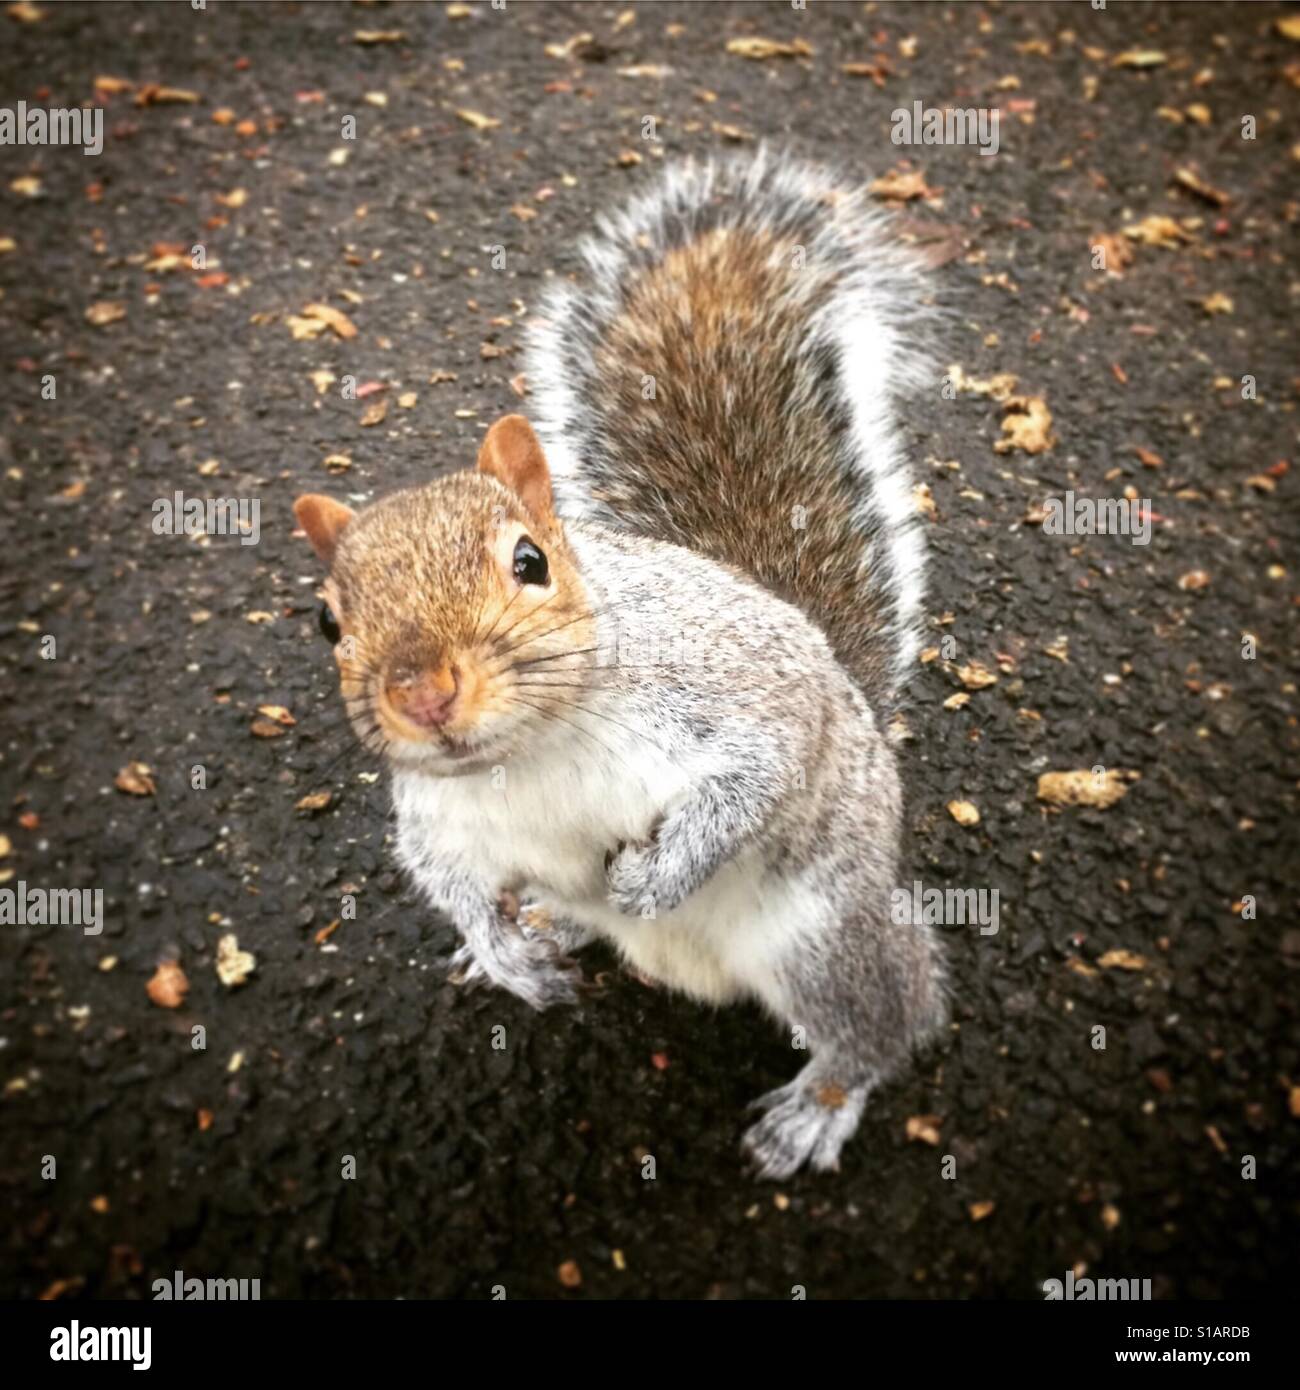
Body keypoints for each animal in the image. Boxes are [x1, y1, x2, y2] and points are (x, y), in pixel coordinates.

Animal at [293, 151, 948, 1179]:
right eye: (325, 620)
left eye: (530, 562)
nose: (423, 695)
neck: (530, 751)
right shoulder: (439, 815)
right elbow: (445, 875)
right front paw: (499, 946)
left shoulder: (729, 696)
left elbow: (757, 777)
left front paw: (657, 874)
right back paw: (543, 925)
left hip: (824, 941)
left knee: (885, 1016)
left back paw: (818, 1104)